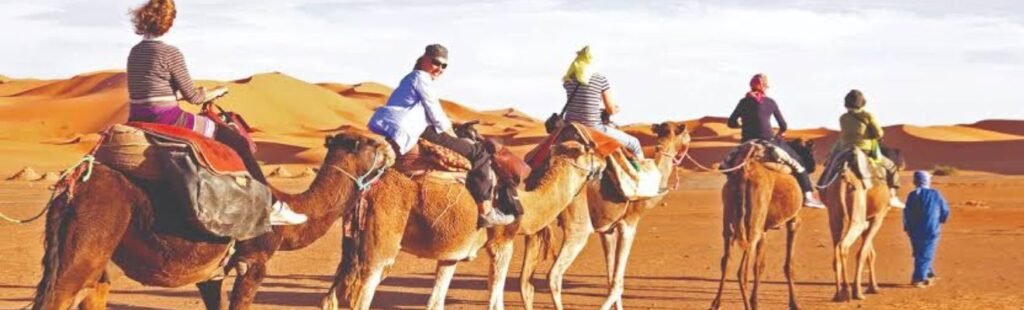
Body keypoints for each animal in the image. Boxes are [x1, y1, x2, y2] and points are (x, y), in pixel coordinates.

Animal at [30, 128, 391, 310]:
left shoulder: (211, 274)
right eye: (370, 143)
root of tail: (71, 185)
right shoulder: (252, 262)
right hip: (88, 241)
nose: (391, 149)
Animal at [321, 141, 606, 310]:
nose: (604, 162)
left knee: (330, 297)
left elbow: (436, 301)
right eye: (590, 152)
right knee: (361, 296)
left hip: (351, 246)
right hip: (380, 247)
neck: (525, 203)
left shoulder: (451, 255)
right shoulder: (502, 242)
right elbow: (495, 302)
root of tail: (366, 188)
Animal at [520, 121, 696, 310]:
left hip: (536, 221)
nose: (689, 141)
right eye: (686, 134)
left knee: (525, 282)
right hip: (577, 221)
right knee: (554, 275)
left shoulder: (607, 229)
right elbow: (617, 284)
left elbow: (610, 277)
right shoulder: (629, 223)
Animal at [712, 141, 815, 310]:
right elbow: (789, 265)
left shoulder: (764, 230)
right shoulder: (794, 221)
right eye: (811, 151)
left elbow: (759, 266)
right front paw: (794, 303)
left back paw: (716, 304)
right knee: (742, 271)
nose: (813, 165)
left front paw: (755, 302)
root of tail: (745, 171)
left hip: (730, 218)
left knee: (726, 261)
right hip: (752, 224)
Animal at [819, 148, 901, 300]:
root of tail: (845, 176)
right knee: (844, 245)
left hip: (835, 213)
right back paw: (848, 291)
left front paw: (873, 287)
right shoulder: (877, 218)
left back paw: (838, 293)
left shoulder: (867, 220)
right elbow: (864, 253)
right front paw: (860, 290)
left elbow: (870, 253)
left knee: (836, 248)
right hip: (857, 212)